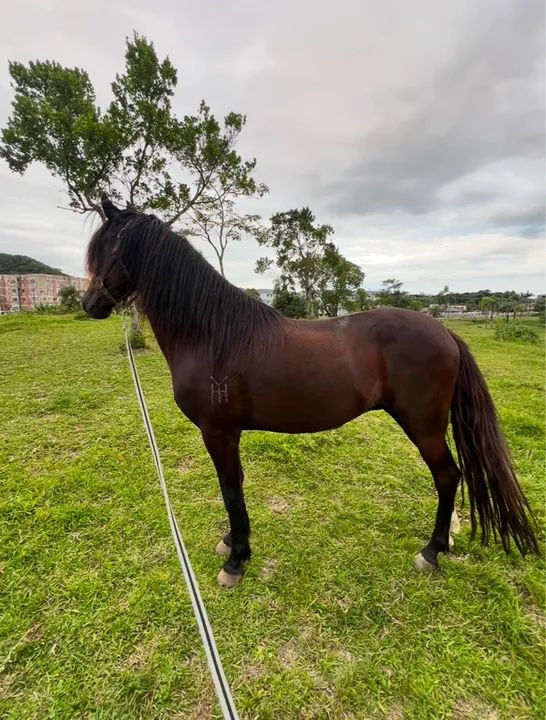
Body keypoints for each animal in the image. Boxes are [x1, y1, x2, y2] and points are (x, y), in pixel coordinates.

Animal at [81, 196, 539, 587]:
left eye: (111, 250)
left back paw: (431, 552)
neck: (211, 335)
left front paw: (236, 561)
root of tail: (445, 331)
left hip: (423, 426)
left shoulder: (219, 432)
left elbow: (230, 491)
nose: (90, 305)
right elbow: (233, 489)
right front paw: (232, 544)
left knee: (447, 477)